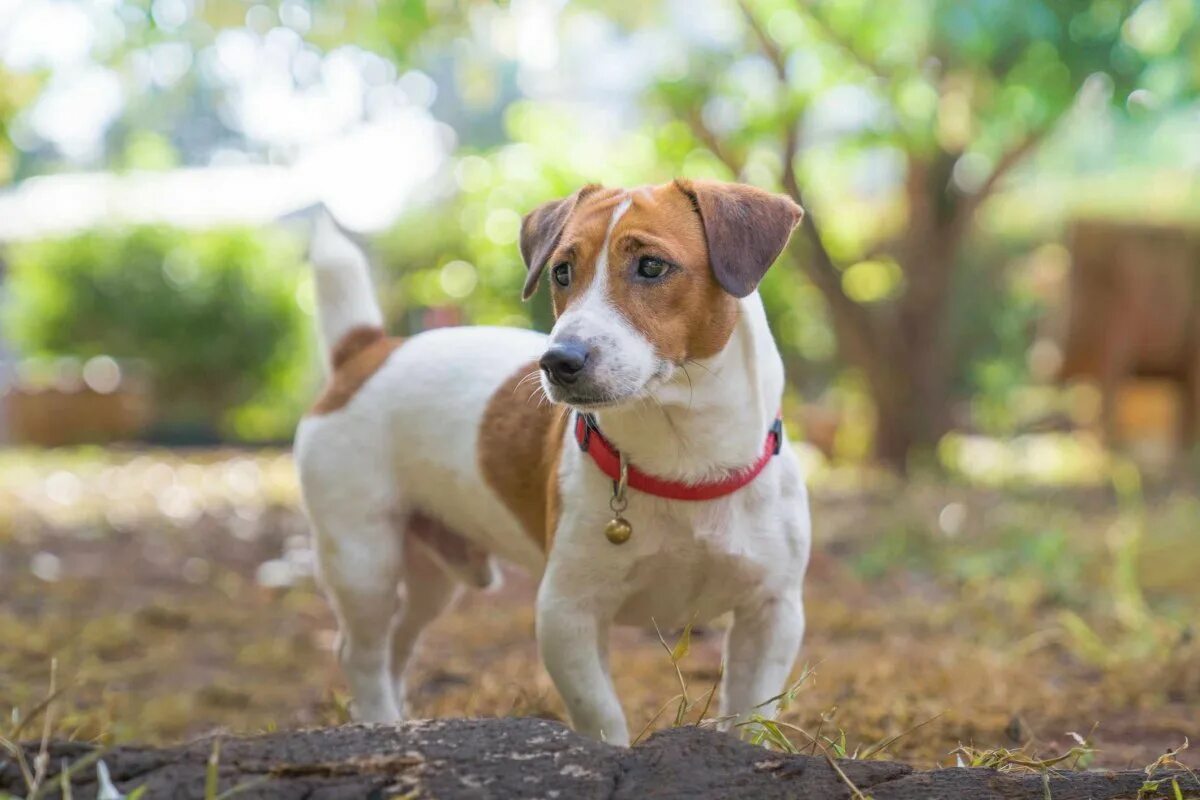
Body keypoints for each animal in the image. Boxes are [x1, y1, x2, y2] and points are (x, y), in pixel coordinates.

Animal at [295, 179, 811, 743]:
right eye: (562, 272)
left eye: (652, 266)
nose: (558, 361)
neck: (685, 463)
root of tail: (367, 352)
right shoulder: (567, 615)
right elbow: (601, 715)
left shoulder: (771, 613)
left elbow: (751, 714)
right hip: (363, 559)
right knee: (361, 652)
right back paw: (378, 721)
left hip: (432, 574)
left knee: (397, 644)